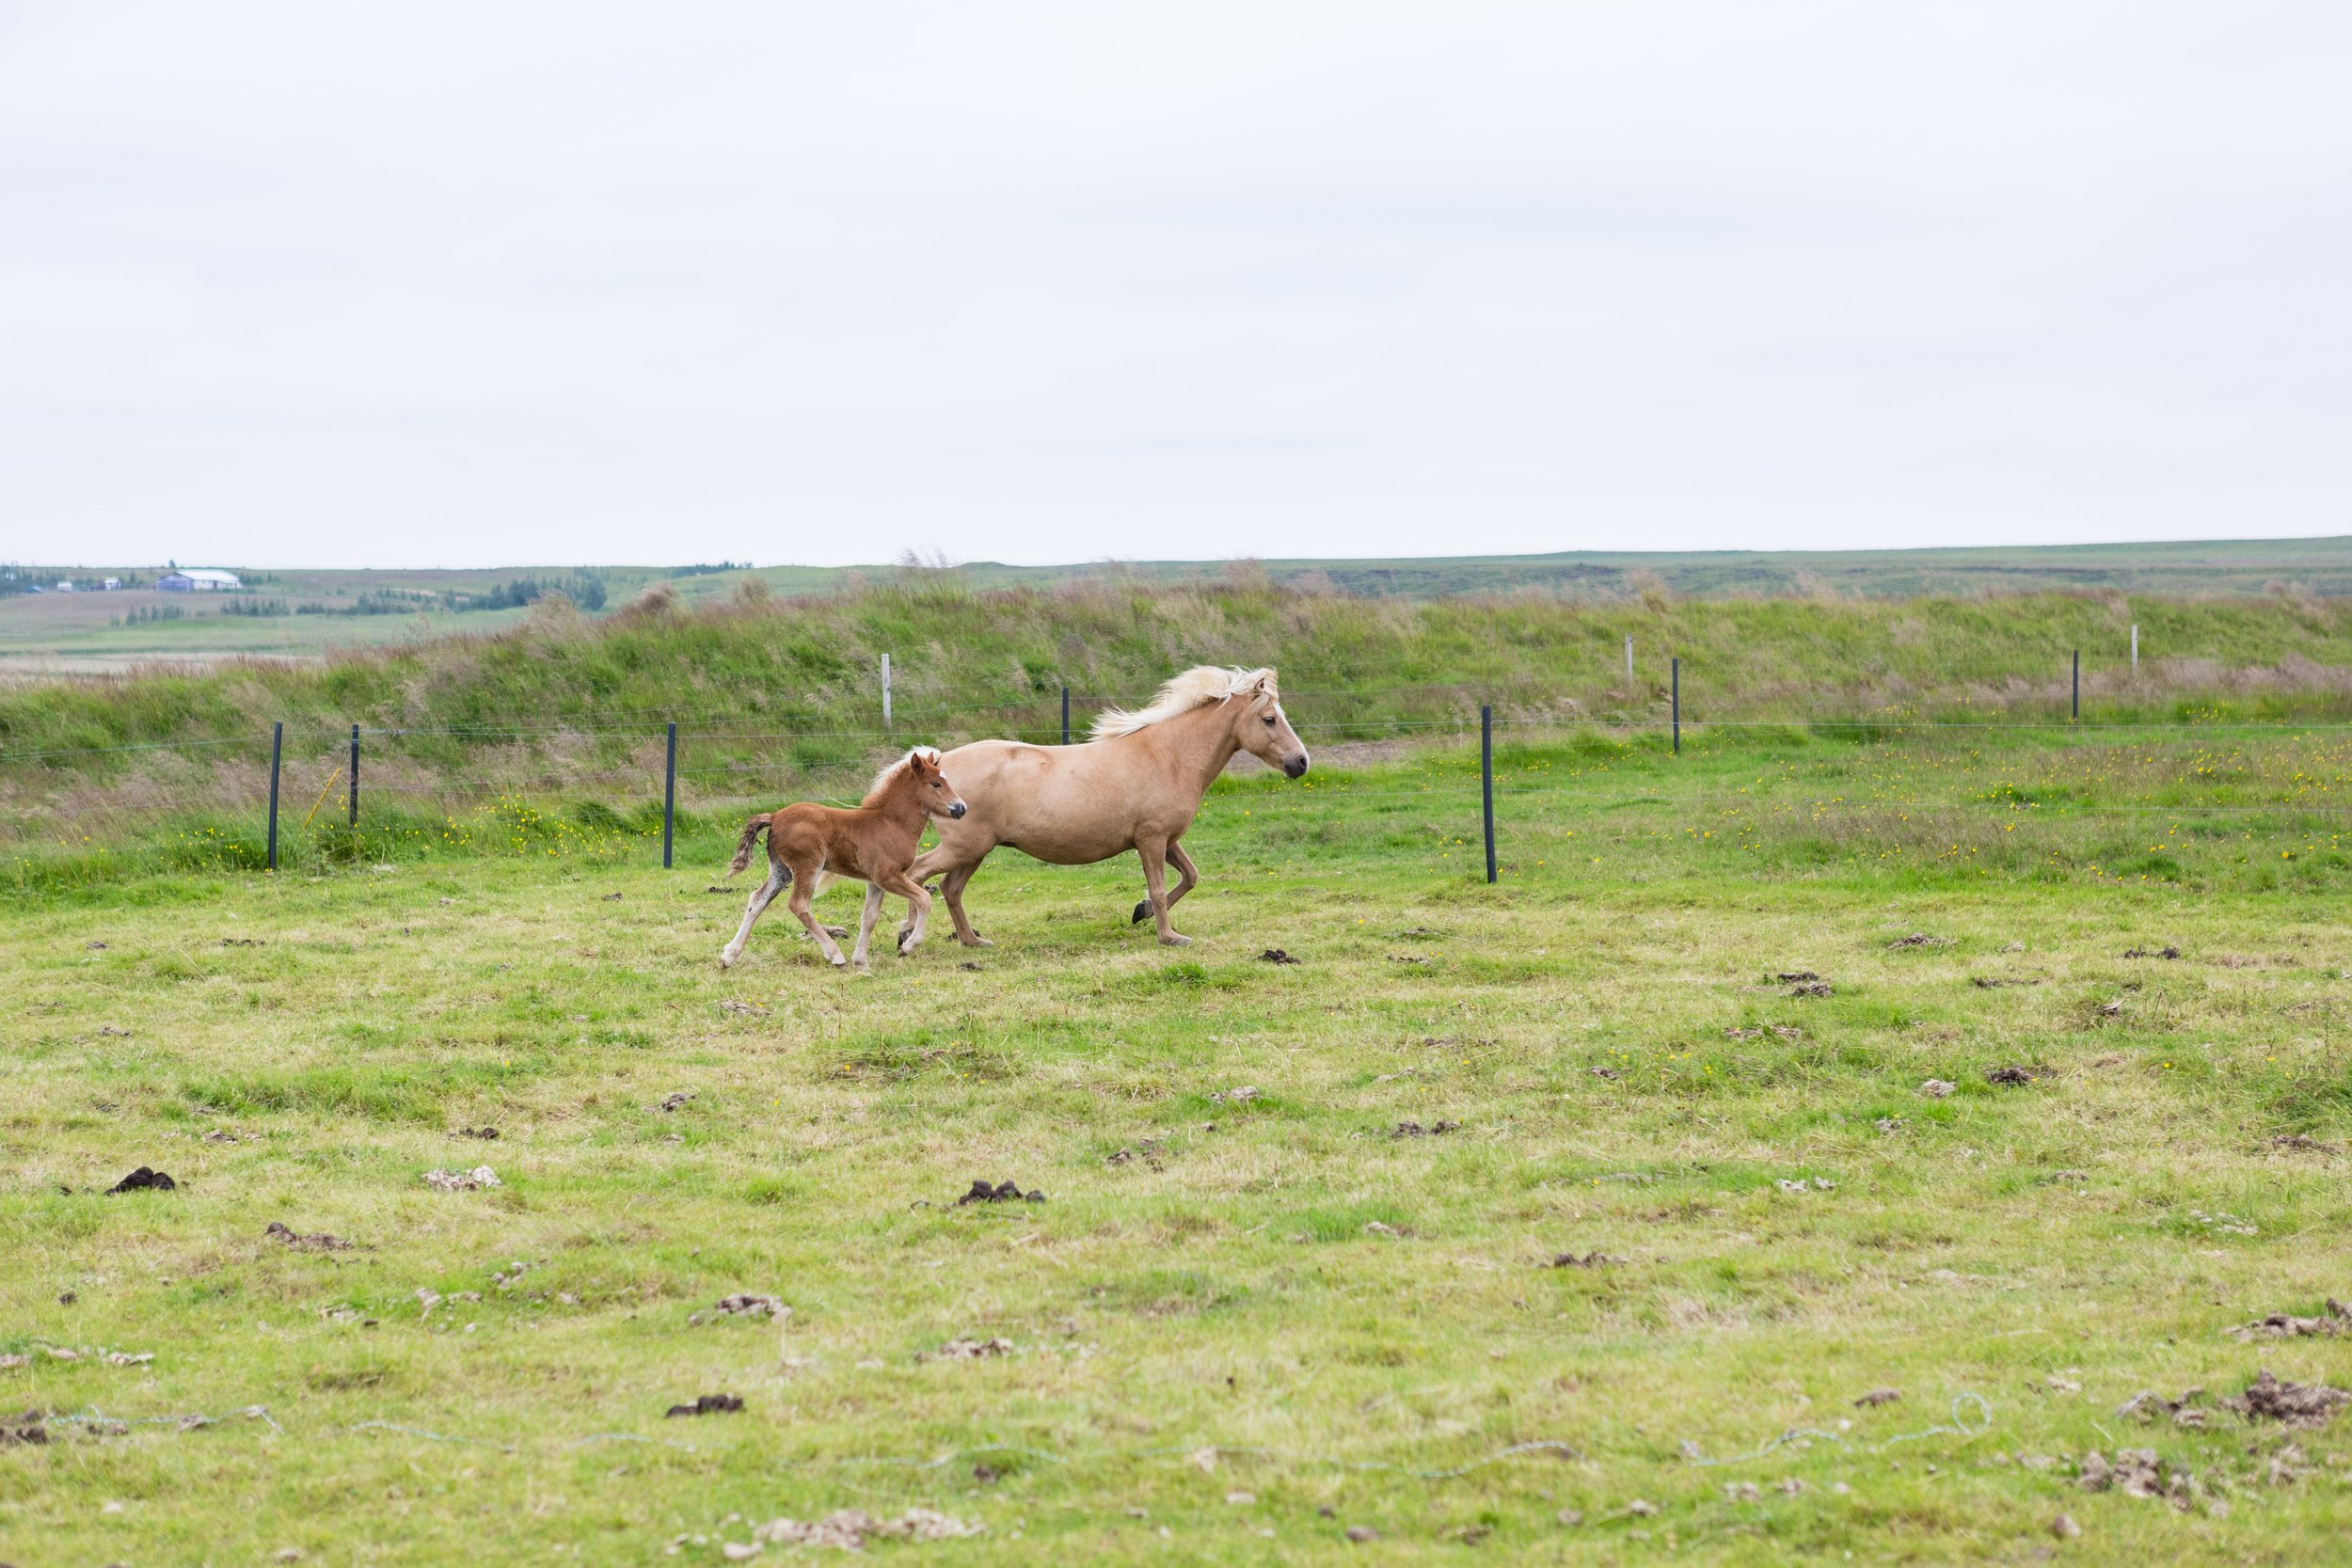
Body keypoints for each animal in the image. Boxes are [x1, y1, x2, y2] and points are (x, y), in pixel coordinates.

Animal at [720, 747, 969, 968]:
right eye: (935, 784)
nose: (961, 808)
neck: (892, 823)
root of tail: (775, 817)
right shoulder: (888, 876)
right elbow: (924, 899)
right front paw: (906, 947)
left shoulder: (874, 881)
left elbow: (869, 917)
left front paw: (861, 962)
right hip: (807, 867)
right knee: (799, 905)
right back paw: (836, 956)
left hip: (781, 870)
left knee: (757, 900)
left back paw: (728, 956)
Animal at [894, 662, 1308, 944]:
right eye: (1269, 719)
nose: (1301, 763)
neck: (1168, 756)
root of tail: (938, 766)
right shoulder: (1151, 840)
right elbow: (1160, 888)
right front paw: (1169, 937)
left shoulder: (1166, 840)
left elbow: (1190, 876)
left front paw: (1140, 914)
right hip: (965, 847)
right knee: (918, 873)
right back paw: (907, 934)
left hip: (975, 851)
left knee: (950, 889)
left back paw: (972, 941)